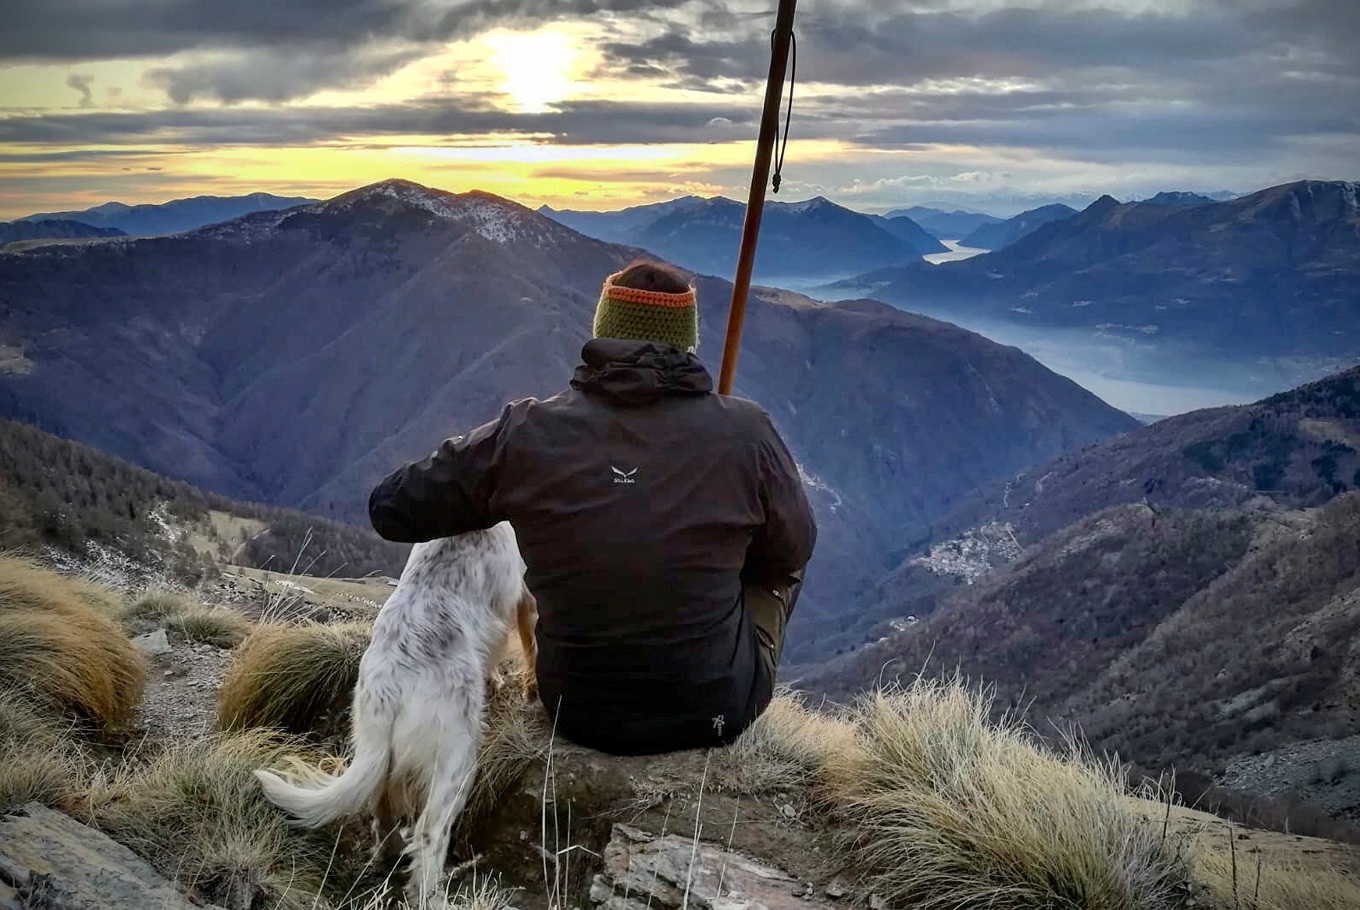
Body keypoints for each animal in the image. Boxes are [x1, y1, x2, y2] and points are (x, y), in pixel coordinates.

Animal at [254, 522, 535, 903]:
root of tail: (390, 685)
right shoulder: (520, 594)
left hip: (378, 747)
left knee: (381, 806)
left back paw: (387, 856)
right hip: (457, 760)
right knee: (429, 834)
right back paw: (434, 897)